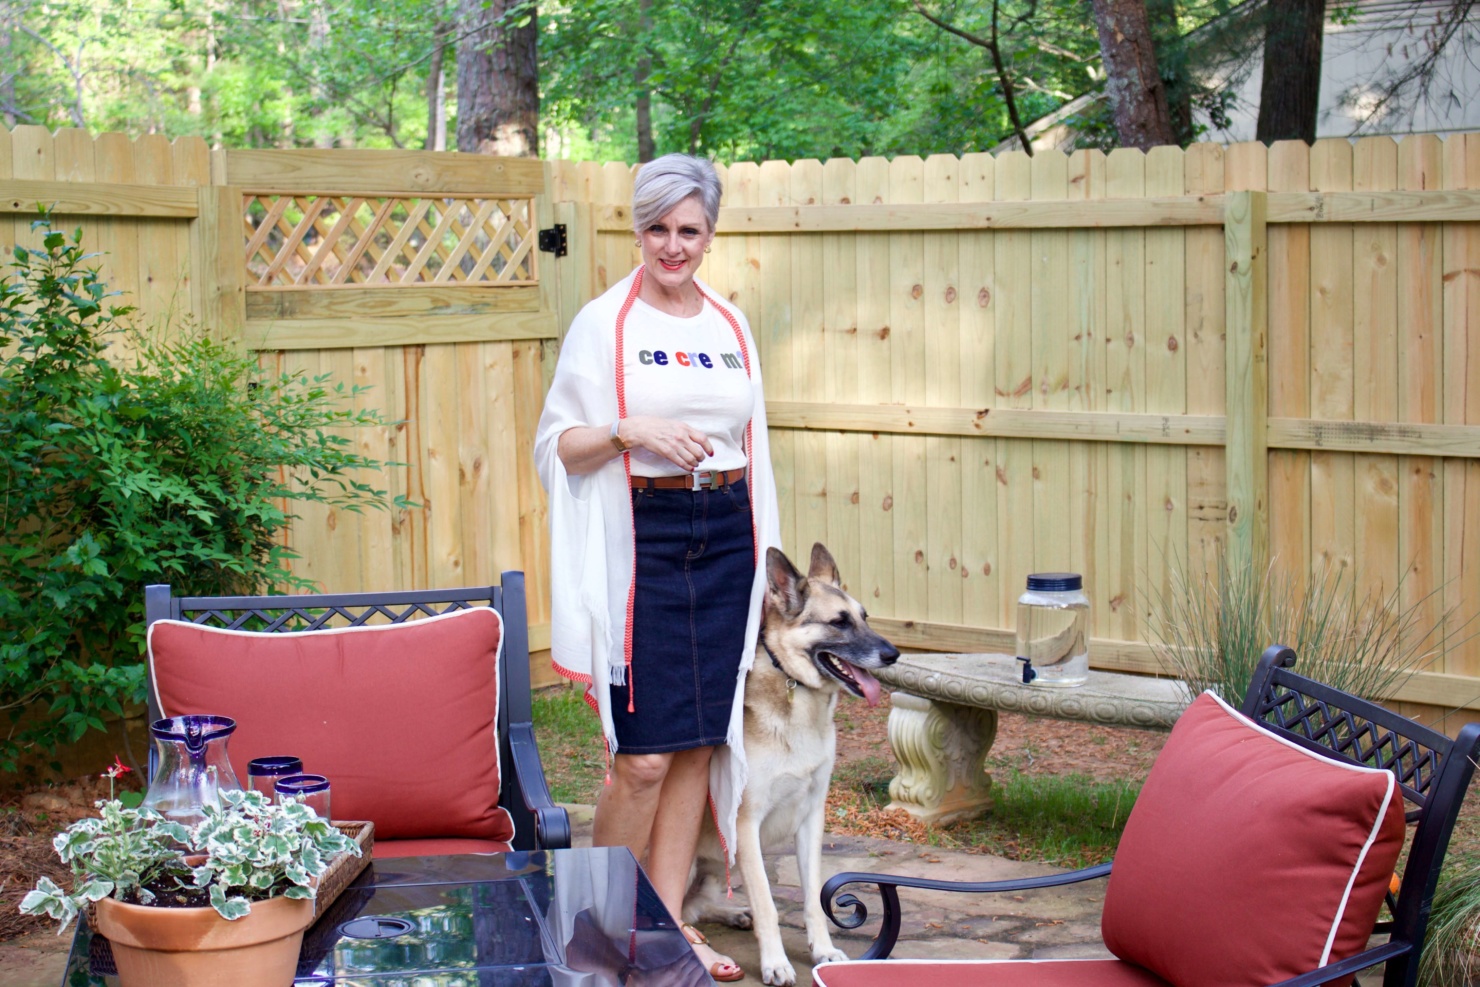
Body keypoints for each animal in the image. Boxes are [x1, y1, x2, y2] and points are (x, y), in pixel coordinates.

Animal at [683, 544, 899, 982]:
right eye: (839, 622)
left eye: (865, 616)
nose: (894, 655)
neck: (797, 696)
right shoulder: (745, 826)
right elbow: (768, 904)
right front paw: (775, 963)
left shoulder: (812, 817)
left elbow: (814, 897)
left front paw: (824, 951)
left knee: (699, 906)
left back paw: (733, 913)